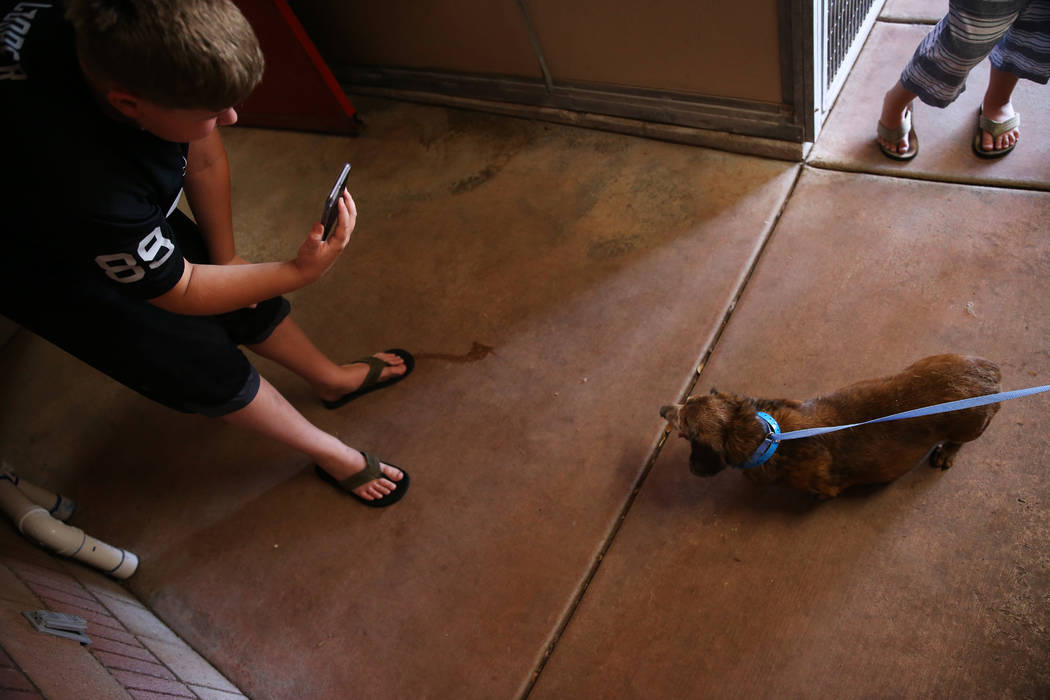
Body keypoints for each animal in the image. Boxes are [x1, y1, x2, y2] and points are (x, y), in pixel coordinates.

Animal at [663, 356, 999, 497]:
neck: (769, 437)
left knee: (958, 442)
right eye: (688, 398)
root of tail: (991, 373)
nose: (662, 408)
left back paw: (946, 453)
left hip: (966, 427)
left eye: (686, 427)